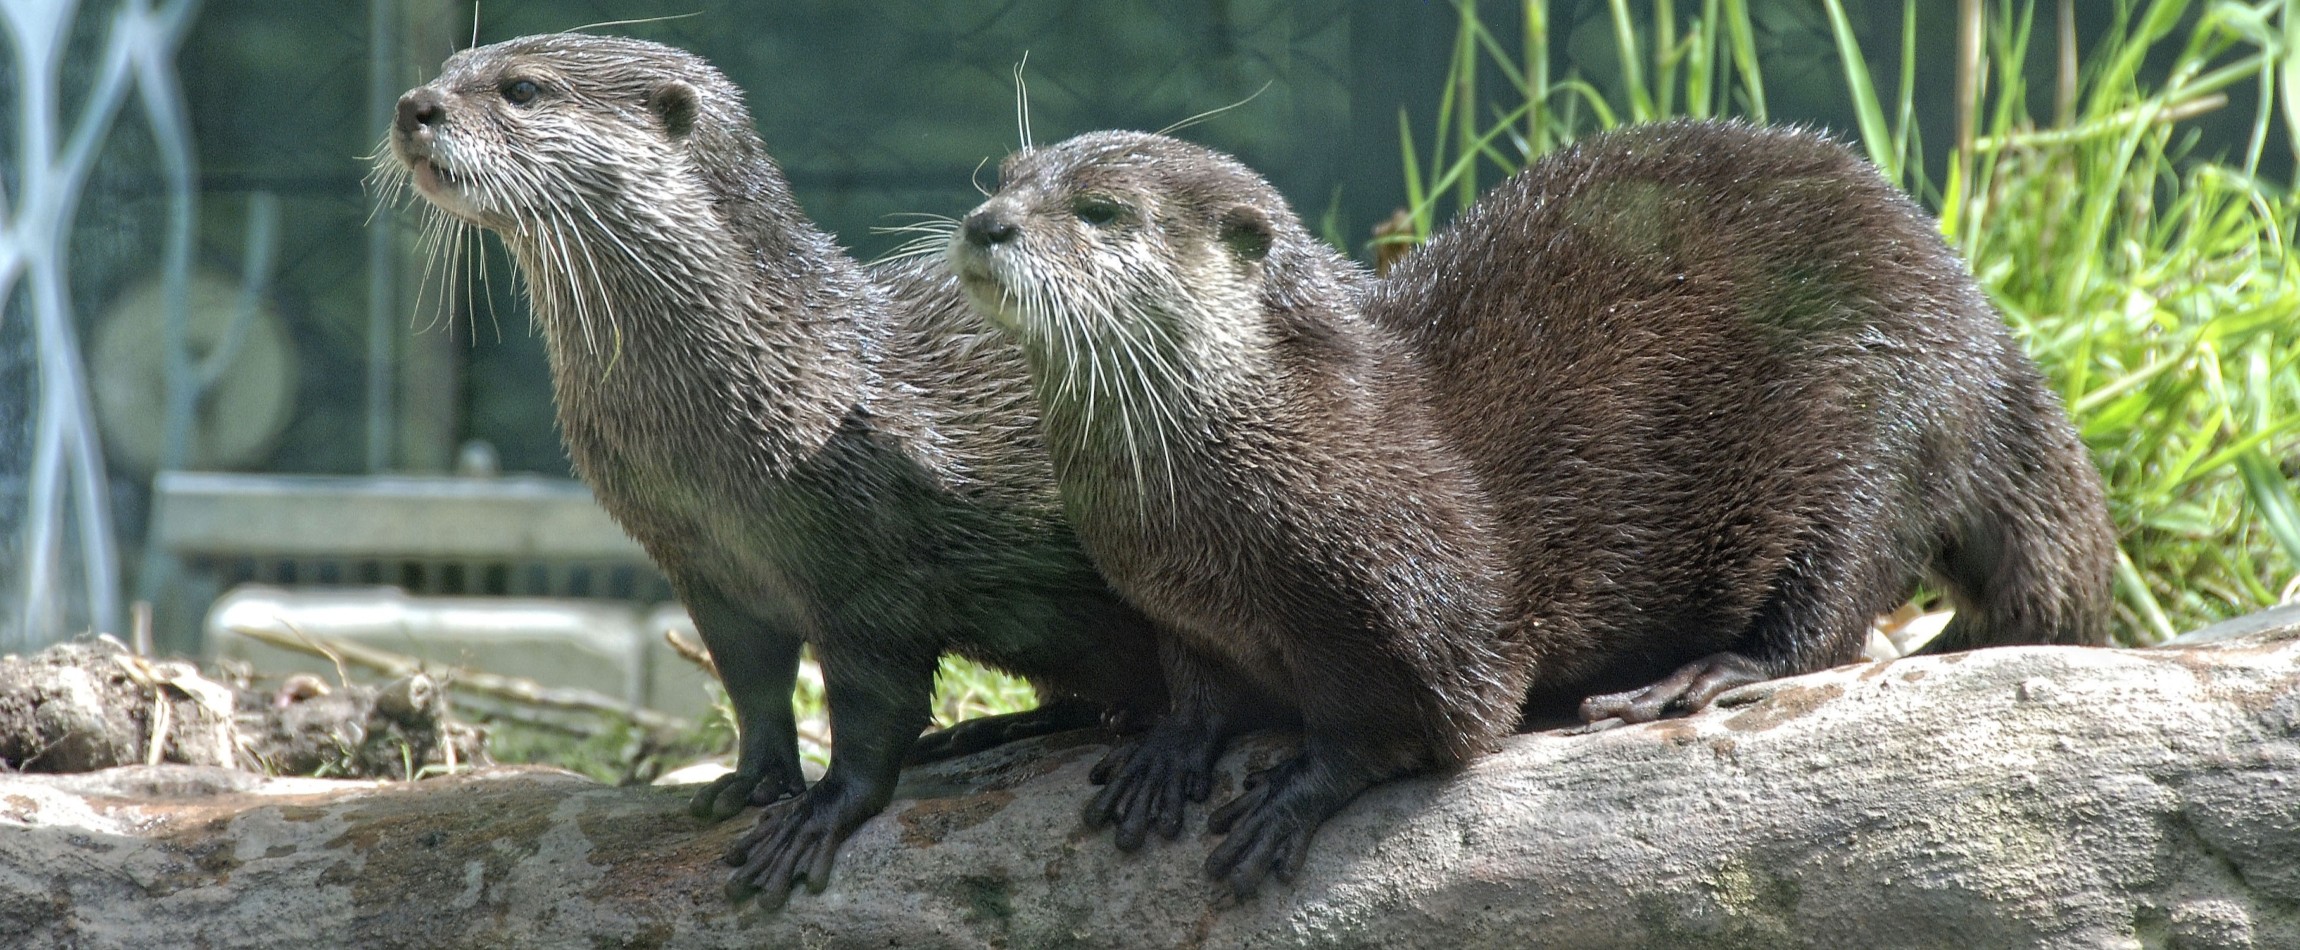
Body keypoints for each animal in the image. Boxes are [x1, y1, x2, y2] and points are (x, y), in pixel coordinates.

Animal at [382, 34, 1167, 909]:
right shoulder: (702, 567)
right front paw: (750, 782)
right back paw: (991, 729)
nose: (415, 105)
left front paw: (821, 810)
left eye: (521, 89)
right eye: (450, 68)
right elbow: (752, 684)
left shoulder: (869, 577)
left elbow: (873, 709)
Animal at [948, 122, 2114, 897]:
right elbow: (1195, 691)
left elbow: (1424, 719)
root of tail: (1979, 329)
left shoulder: (1425, 600)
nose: (985, 222)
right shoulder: (1174, 607)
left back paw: (1691, 677)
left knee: (1827, 612)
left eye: (1101, 212)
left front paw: (1295, 789)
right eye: (1001, 176)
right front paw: (1167, 752)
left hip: (1871, 425)